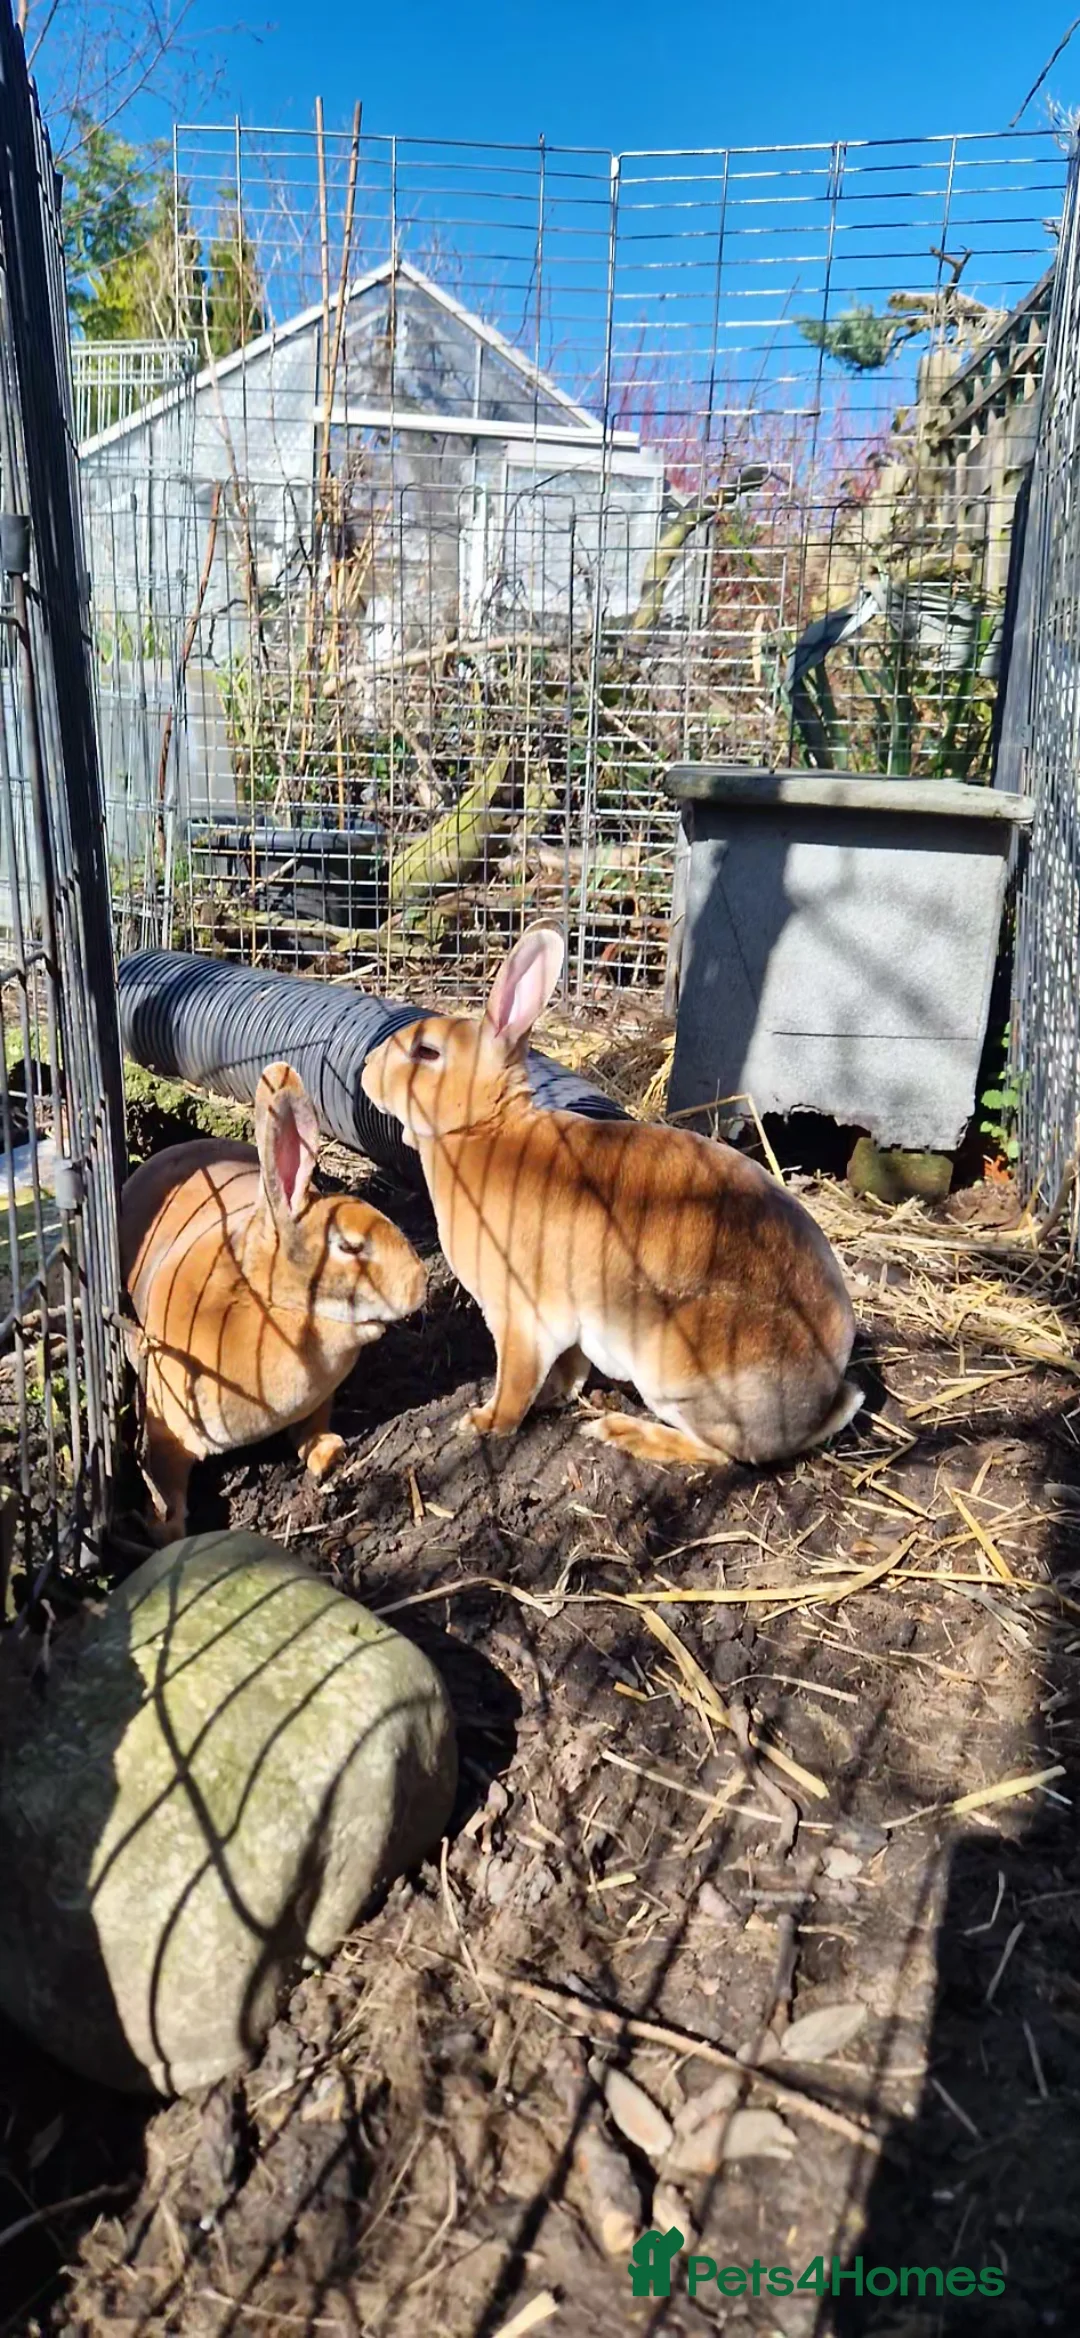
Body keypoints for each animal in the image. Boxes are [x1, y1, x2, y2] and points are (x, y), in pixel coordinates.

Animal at [120, 1060, 426, 1545]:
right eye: (349, 1246)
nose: (420, 1284)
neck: (272, 1303)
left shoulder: (316, 1402)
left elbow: (311, 1430)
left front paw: (329, 1455)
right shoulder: (166, 1428)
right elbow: (165, 1485)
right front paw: (166, 1532)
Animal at [361, 925, 862, 1469]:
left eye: (426, 1053)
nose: (365, 1067)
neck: (482, 1130)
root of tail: (819, 1405)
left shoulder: (520, 1316)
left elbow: (515, 1380)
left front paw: (485, 1423)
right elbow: (569, 1366)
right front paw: (556, 1397)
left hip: (675, 1365)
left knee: (720, 1454)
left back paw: (620, 1431)